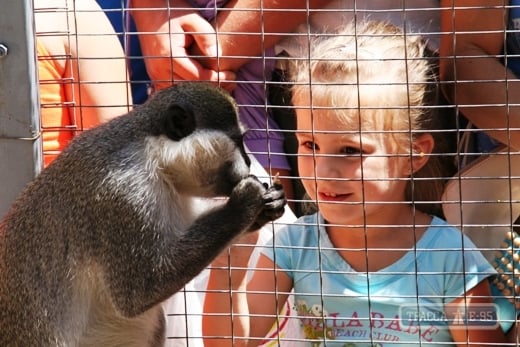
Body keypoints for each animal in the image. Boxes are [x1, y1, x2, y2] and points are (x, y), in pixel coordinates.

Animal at [0, 83, 284, 346]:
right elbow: (137, 292)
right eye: (238, 141)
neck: (156, 156)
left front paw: (266, 207)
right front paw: (243, 204)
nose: (249, 161)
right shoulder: (125, 195)